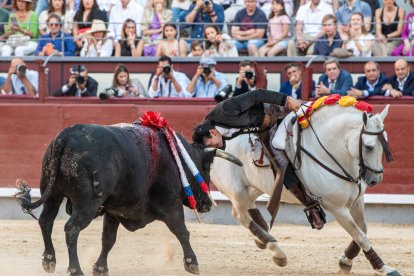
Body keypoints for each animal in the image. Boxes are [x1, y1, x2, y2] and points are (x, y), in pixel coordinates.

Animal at [14, 123, 241, 276]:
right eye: (205, 168)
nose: (206, 204)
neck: (176, 158)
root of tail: (65, 136)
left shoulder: (115, 210)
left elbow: (108, 239)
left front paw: (100, 268)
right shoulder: (170, 204)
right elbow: (182, 232)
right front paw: (192, 263)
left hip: (53, 194)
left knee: (46, 221)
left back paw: (49, 260)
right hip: (87, 204)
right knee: (71, 228)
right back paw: (75, 269)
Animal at [210, 104, 402, 276]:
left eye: (385, 141)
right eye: (369, 147)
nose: (376, 179)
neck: (330, 150)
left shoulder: (357, 201)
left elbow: (363, 229)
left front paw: (345, 261)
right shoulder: (337, 208)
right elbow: (360, 235)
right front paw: (383, 267)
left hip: (254, 186)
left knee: (250, 208)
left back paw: (264, 239)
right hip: (236, 190)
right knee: (240, 215)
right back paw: (277, 251)